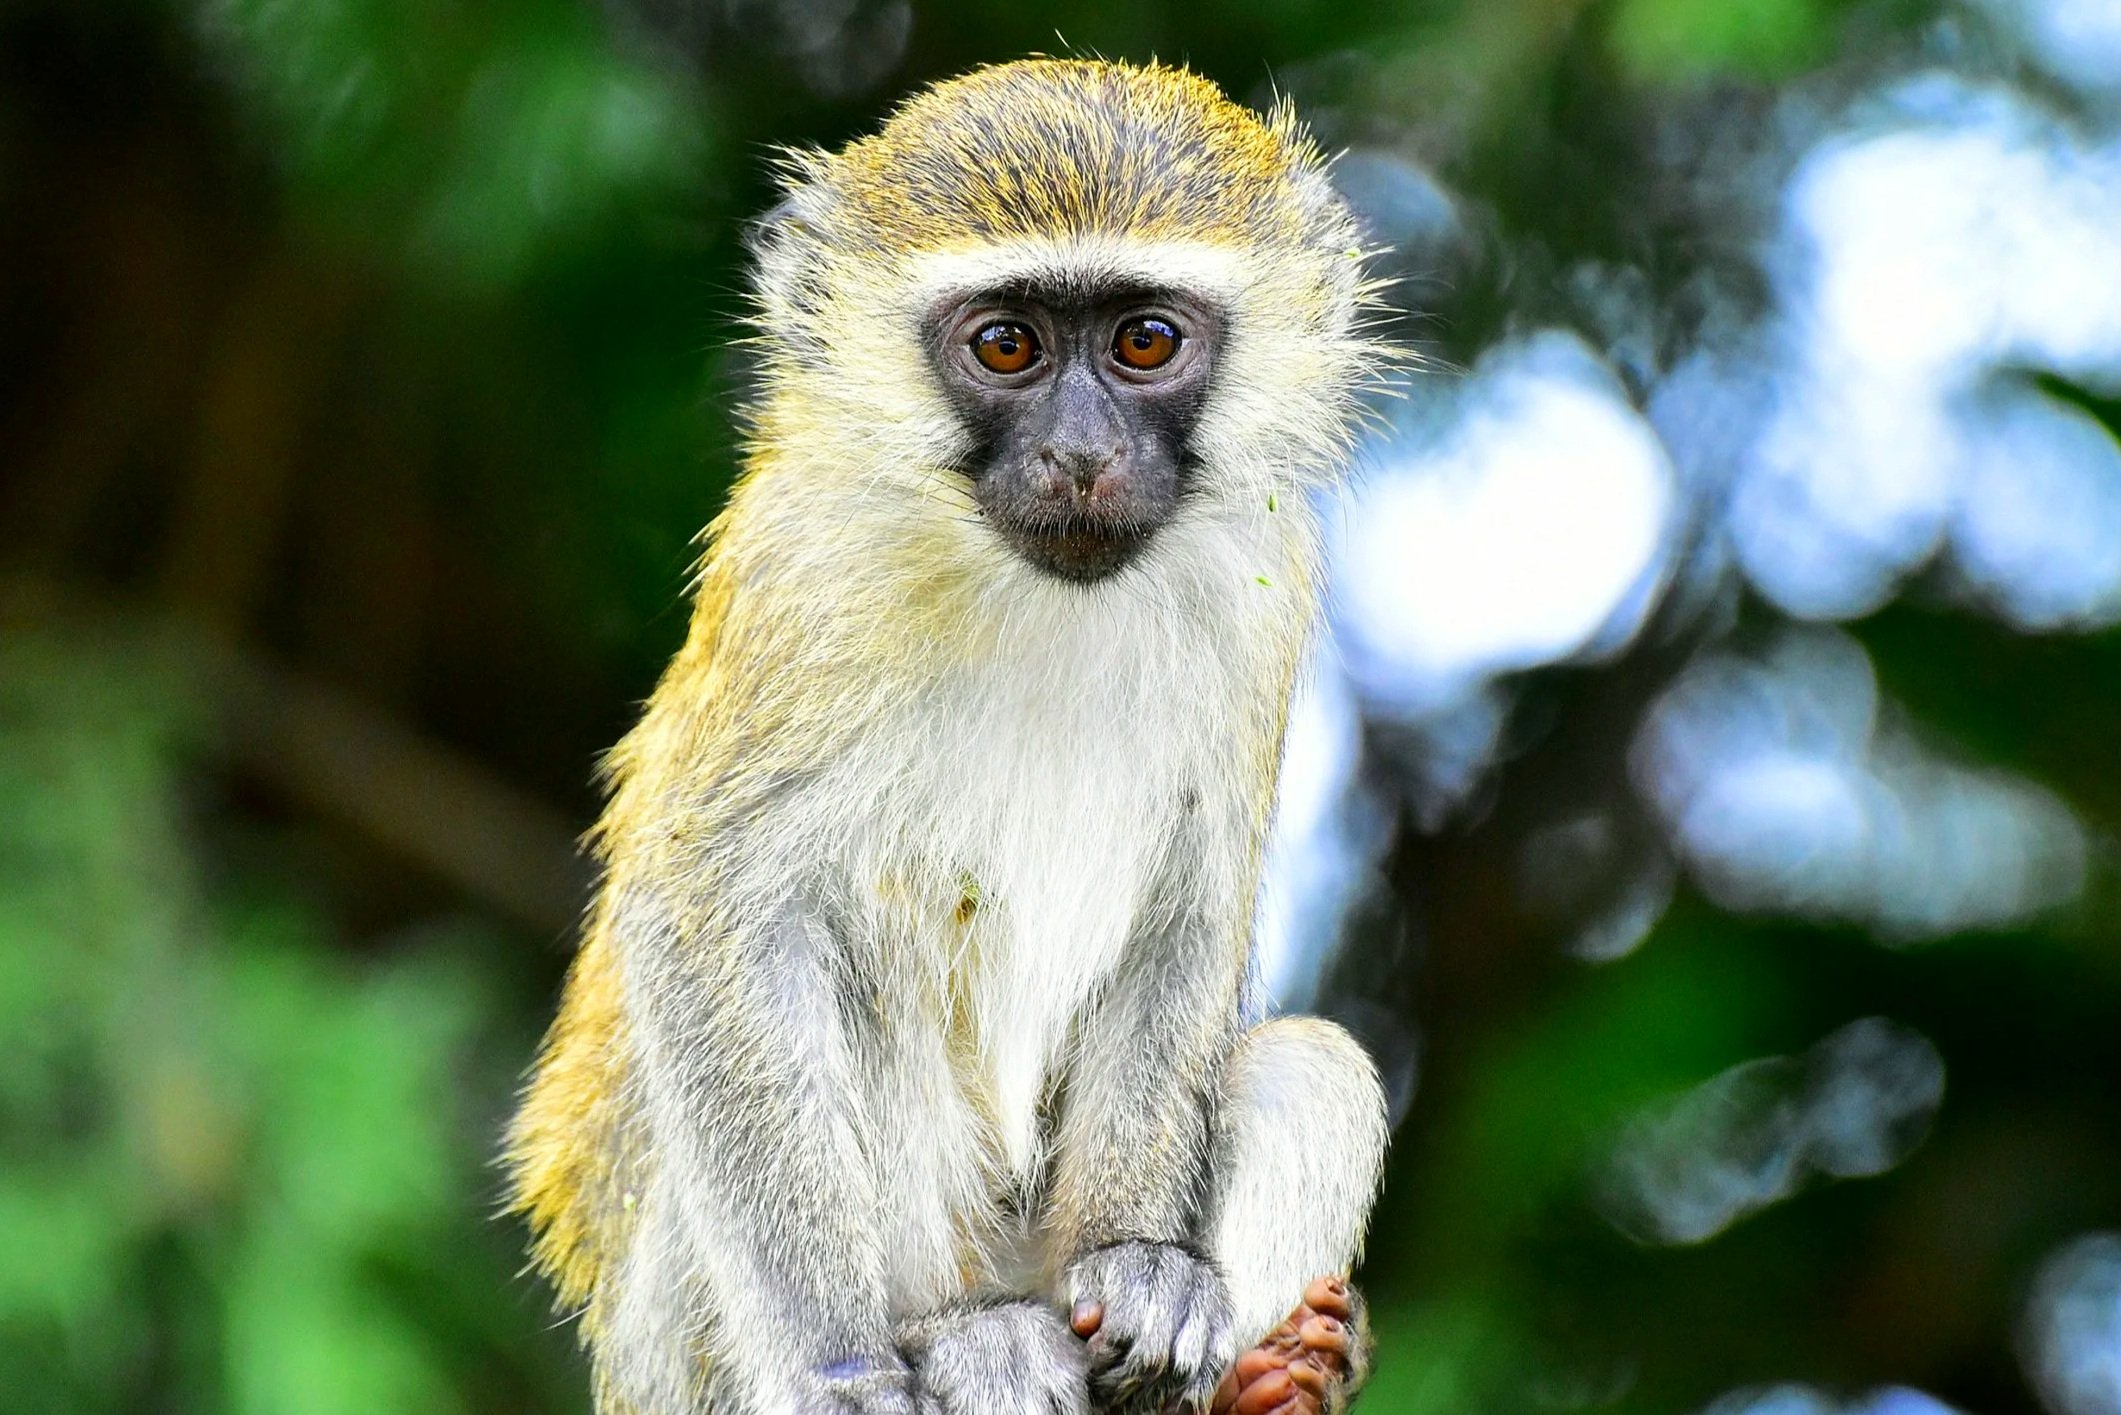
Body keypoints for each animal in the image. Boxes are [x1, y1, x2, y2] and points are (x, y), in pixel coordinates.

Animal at [505, 58, 1393, 1415]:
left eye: (1144, 340)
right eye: (1006, 345)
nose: (1079, 453)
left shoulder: (1267, 576)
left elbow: (1191, 900)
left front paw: (1138, 1259)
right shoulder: (805, 570)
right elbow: (706, 911)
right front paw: (838, 1362)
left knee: (1316, 1066)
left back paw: (1260, 1371)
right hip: (680, 1339)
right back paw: (968, 1339)